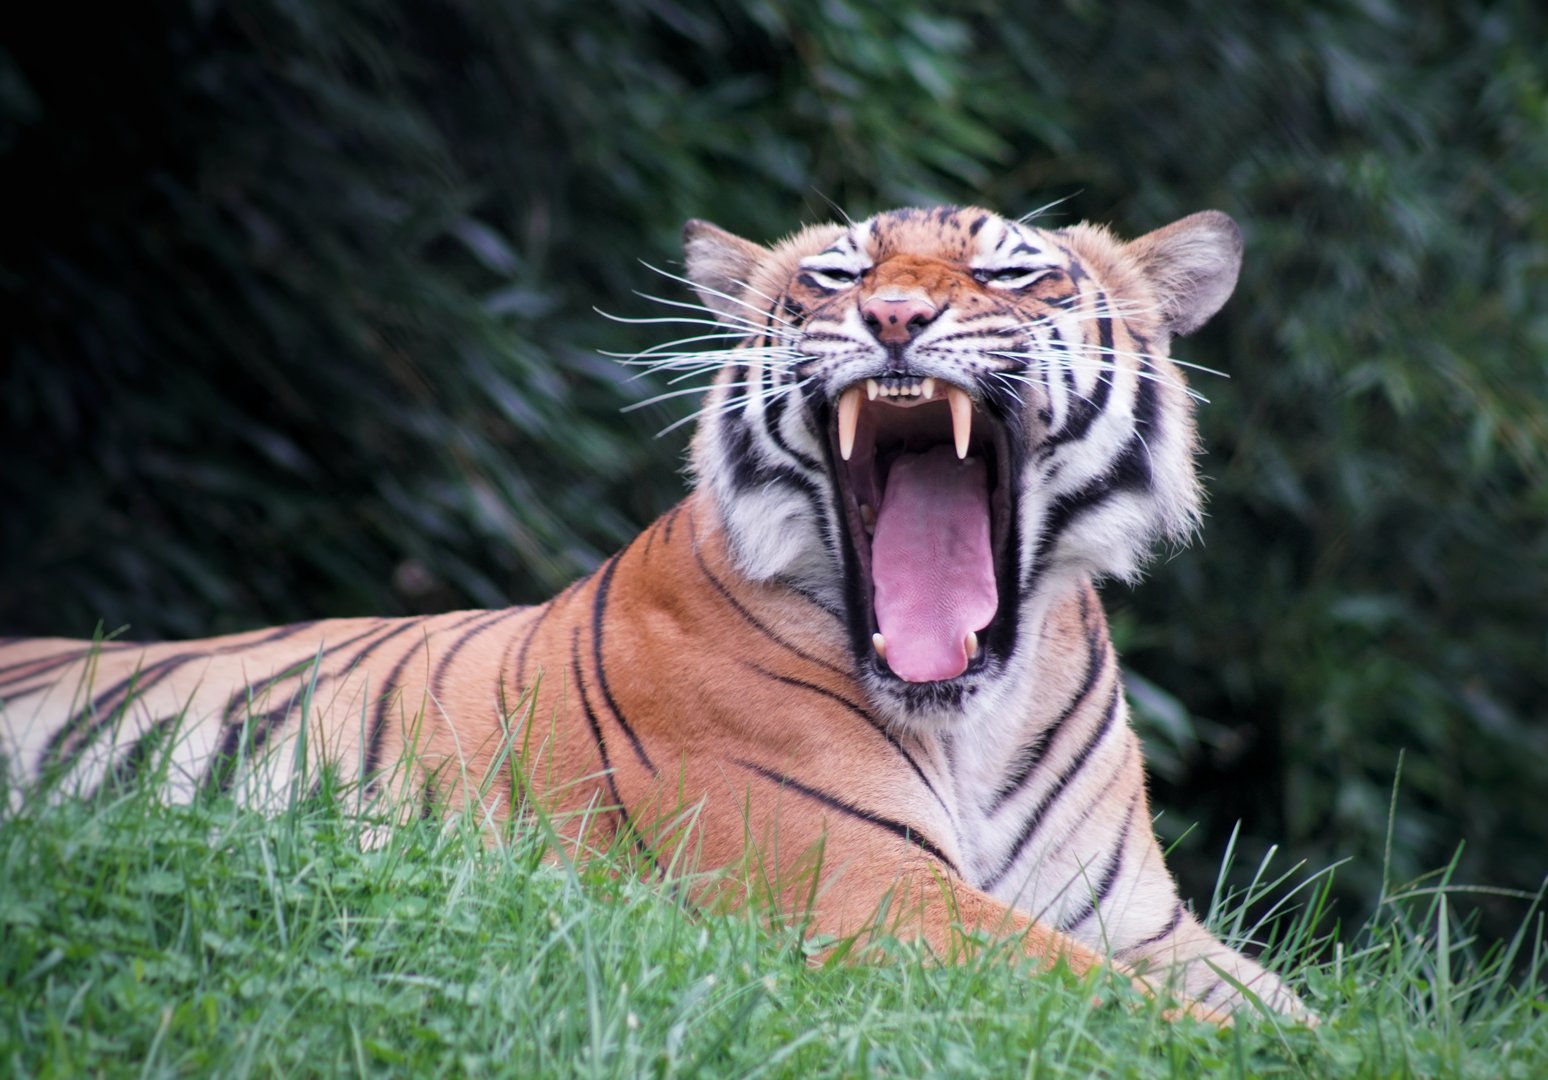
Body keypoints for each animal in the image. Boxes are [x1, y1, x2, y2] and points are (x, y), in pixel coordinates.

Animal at [0, 205, 1307, 1019]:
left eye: (1009, 273)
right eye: (837, 276)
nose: (892, 319)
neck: (971, 714)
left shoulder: (1143, 922)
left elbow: (1301, 1007)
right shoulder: (871, 889)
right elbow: (1148, 1018)